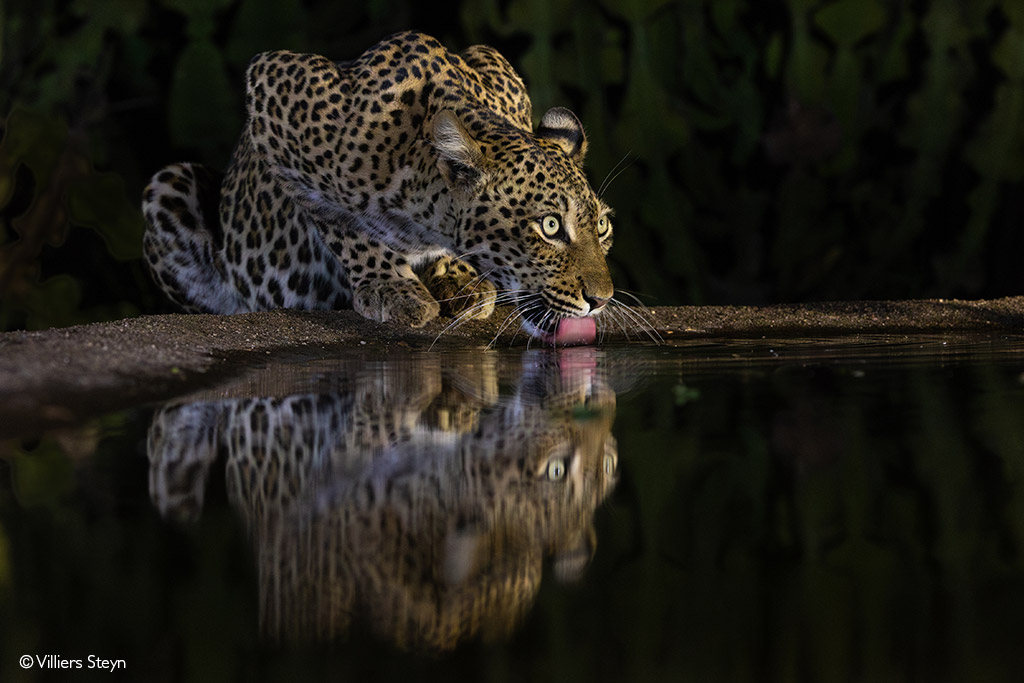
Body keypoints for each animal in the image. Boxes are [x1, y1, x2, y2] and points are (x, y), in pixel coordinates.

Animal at [140, 31, 610, 342]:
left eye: (602, 227)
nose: (601, 300)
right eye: (550, 226)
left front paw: (458, 277)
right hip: (168, 185)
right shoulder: (271, 88)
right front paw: (391, 287)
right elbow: (340, 221)